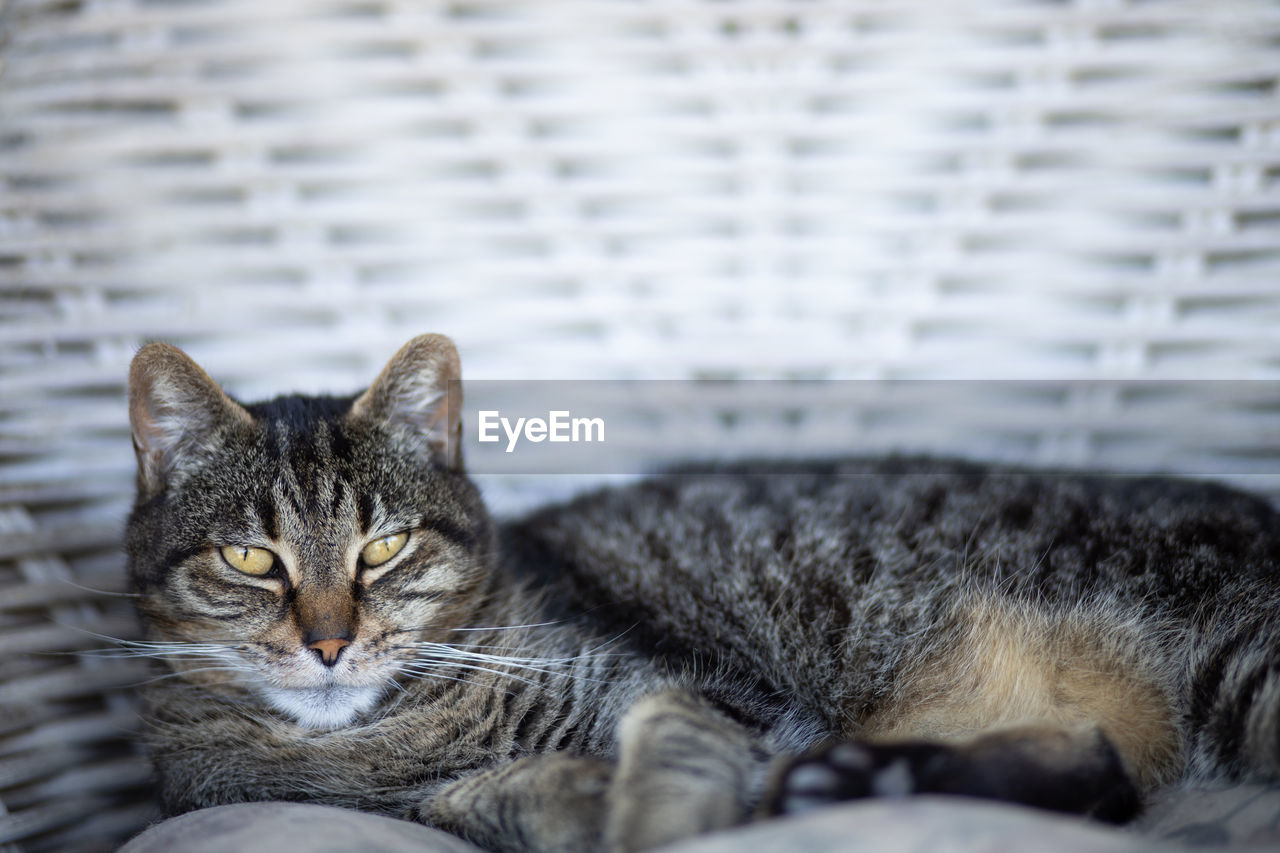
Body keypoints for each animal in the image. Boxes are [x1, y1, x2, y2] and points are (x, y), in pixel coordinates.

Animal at [124, 333, 1280, 850]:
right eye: (251, 560)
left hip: (1240, 666)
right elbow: (494, 802)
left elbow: (666, 740)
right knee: (1103, 773)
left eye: (385, 548)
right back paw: (855, 783)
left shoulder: (706, 692)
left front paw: (652, 805)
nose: (326, 642)